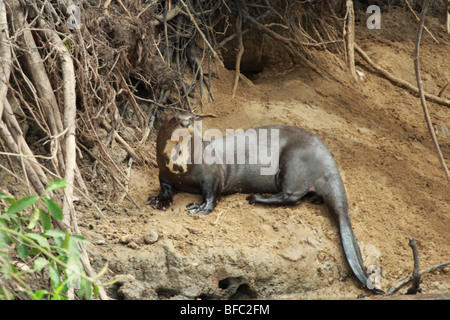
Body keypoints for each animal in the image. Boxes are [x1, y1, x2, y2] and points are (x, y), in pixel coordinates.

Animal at [149, 113, 384, 296]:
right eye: (174, 119)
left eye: (193, 117)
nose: (186, 123)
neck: (181, 165)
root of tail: (328, 160)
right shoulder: (164, 174)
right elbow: (165, 188)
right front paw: (158, 200)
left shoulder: (213, 173)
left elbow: (212, 193)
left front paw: (200, 208)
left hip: (294, 159)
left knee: (292, 195)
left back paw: (256, 198)